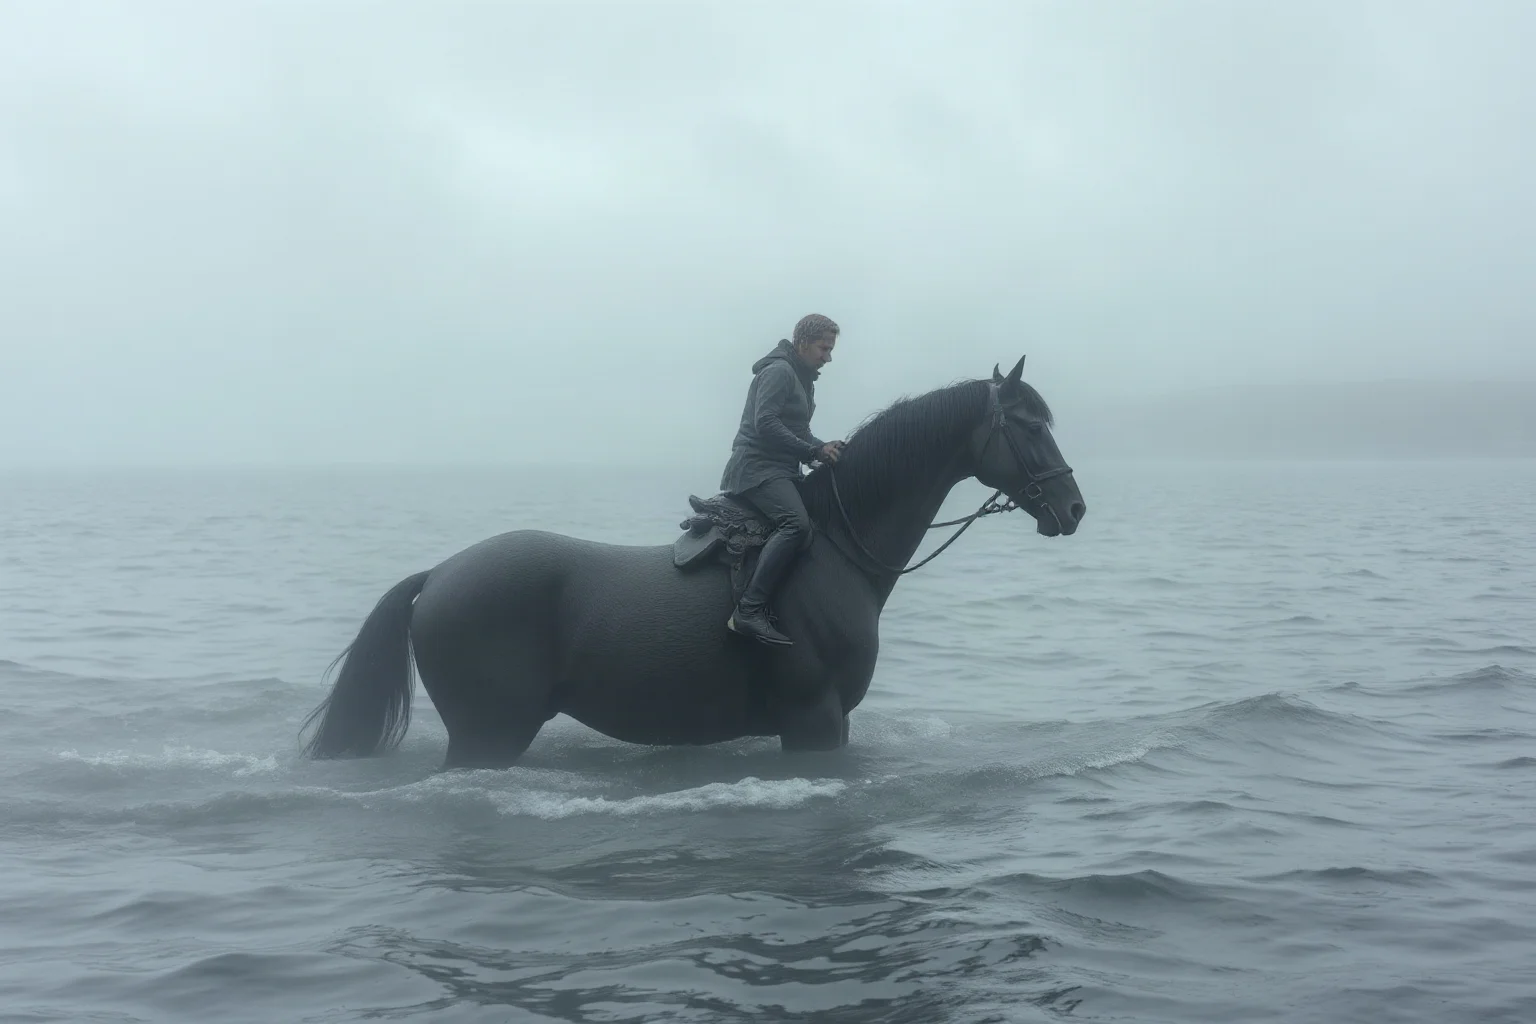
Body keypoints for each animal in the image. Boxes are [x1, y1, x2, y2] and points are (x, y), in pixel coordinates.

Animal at [299, 356, 1086, 769]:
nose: (1072, 507)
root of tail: (438, 575)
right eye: (1029, 424)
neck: (834, 546)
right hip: (487, 735)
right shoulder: (815, 722)